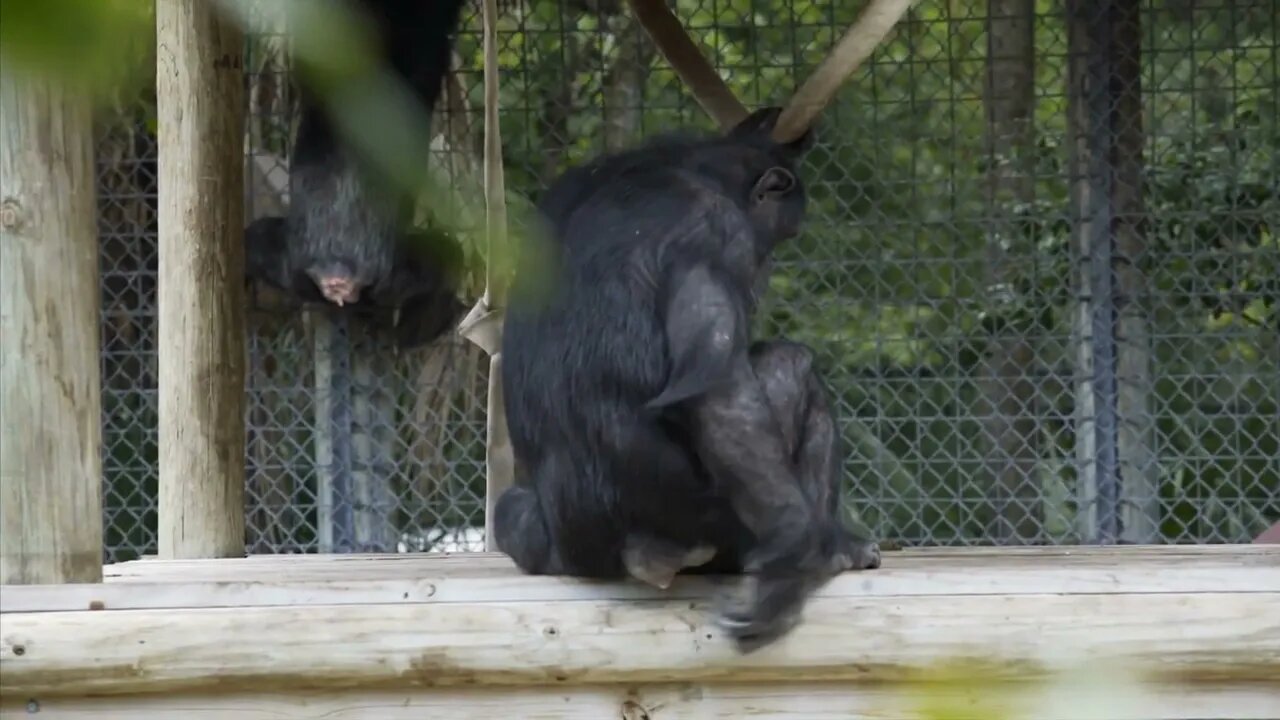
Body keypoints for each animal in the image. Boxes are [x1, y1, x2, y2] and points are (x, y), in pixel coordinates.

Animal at [488, 107, 880, 650]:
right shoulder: (716, 232)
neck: (691, 167)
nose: (765, 271)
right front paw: (789, 560)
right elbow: (720, 388)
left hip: (560, 547)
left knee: (513, 514)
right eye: (778, 239)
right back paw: (831, 547)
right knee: (789, 367)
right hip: (709, 523)